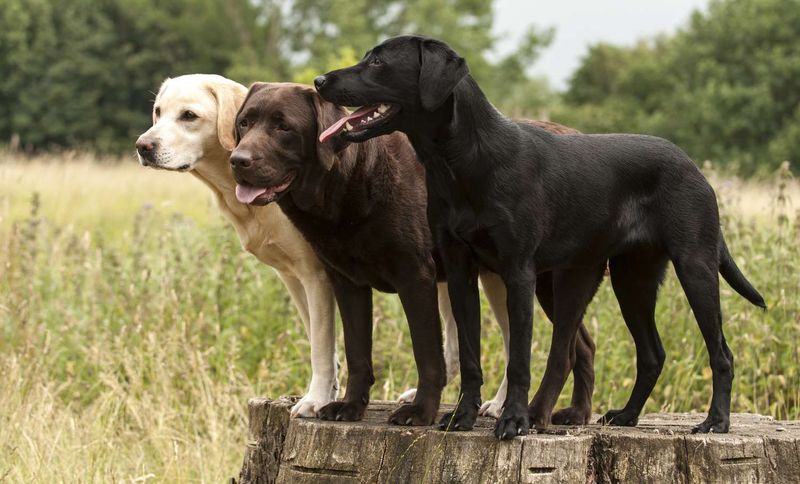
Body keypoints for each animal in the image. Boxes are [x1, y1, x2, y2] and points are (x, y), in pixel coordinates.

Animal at [316, 36, 764, 438]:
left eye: (378, 62)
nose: (320, 80)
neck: (464, 162)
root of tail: (692, 165)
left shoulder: (518, 273)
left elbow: (518, 359)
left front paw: (513, 421)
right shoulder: (461, 272)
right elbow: (471, 356)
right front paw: (462, 417)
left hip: (694, 267)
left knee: (720, 353)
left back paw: (715, 422)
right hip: (626, 278)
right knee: (648, 354)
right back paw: (625, 416)